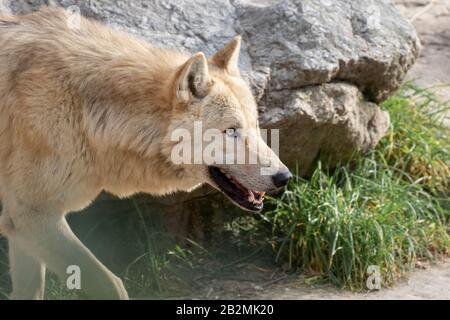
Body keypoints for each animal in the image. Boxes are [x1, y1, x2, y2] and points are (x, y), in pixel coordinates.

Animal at [0, 6, 292, 298]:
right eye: (231, 131)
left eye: (255, 125)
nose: (285, 177)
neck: (86, 112)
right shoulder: (32, 216)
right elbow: (112, 284)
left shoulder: (23, 224)